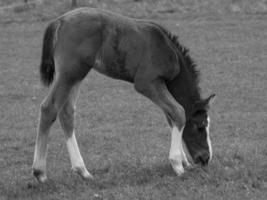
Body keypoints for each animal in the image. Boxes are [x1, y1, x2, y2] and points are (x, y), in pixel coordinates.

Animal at [31, 7, 216, 183]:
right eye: (200, 126)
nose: (206, 158)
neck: (167, 49)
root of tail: (59, 20)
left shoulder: (159, 86)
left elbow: (171, 118)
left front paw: (184, 162)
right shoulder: (147, 83)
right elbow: (178, 112)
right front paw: (178, 165)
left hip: (75, 75)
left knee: (67, 112)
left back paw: (82, 171)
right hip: (70, 73)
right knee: (49, 108)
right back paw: (40, 173)